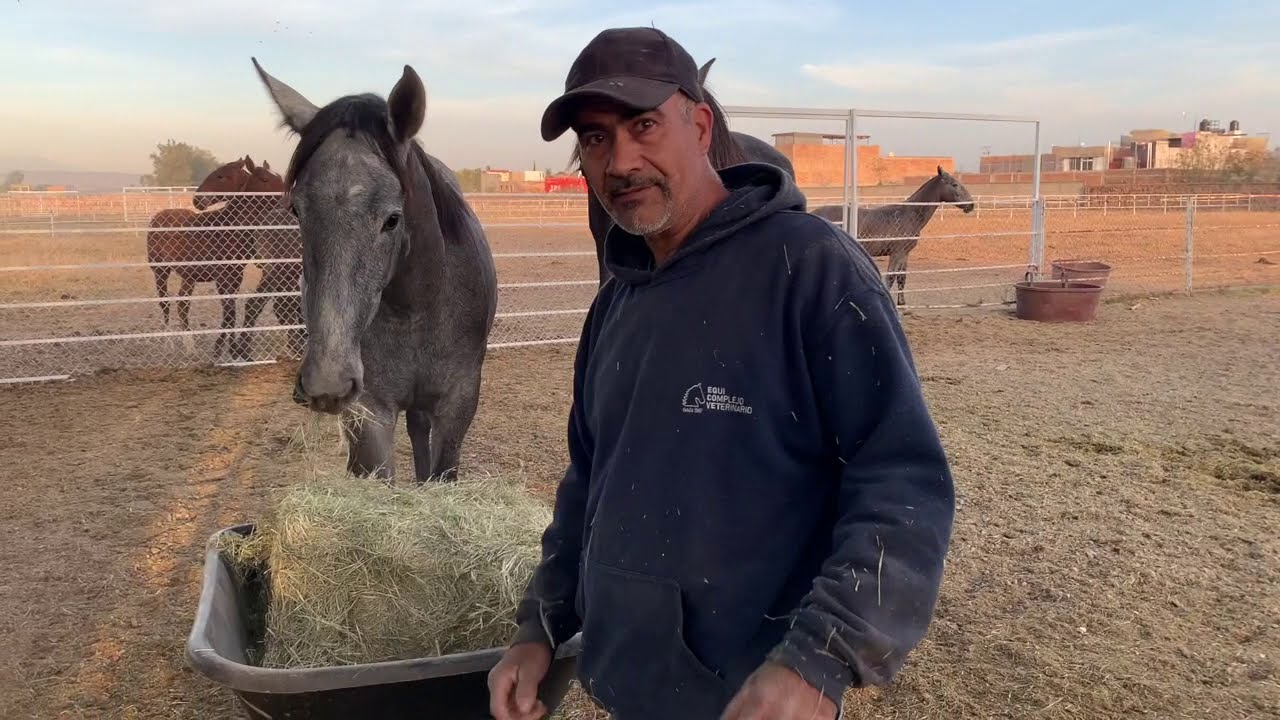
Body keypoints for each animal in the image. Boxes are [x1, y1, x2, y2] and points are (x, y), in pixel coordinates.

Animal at [147, 157, 265, 359]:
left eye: (221, 176)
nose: (196, 200)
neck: (227, 229)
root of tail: (158, 217)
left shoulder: (236, 277)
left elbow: (230, 311)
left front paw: (231, 350)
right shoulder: (222, 279)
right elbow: (229, 312)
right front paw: (227, 350)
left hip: (188, 276)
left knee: (182, 304)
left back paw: (190, 346)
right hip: (160, 271)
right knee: (165, 303)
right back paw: (169, 344)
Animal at [252, 57, 498, 484]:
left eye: (392, 219)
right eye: (297, 210)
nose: (327, 381)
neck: (417, 309)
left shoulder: (458, 403)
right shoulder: (370, 413)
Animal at [811, 166, 975, 306]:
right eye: (954, 184)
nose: (971, 205)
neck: (909, 214)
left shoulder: (905, 254)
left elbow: (902, 277)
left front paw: (902, 303)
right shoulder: (896, 253)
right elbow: (890, 277)